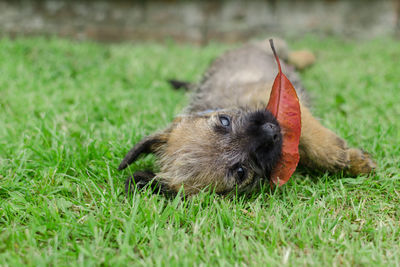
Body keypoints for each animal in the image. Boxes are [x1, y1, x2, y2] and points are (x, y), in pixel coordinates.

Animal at [117, 38, 376, 197]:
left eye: (224, 121)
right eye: (240, 172)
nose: (271, 130)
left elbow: (309, 135)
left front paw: (341, 156)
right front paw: (350, 160)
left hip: (274, 47)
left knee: (291, 54)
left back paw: (307, 56)